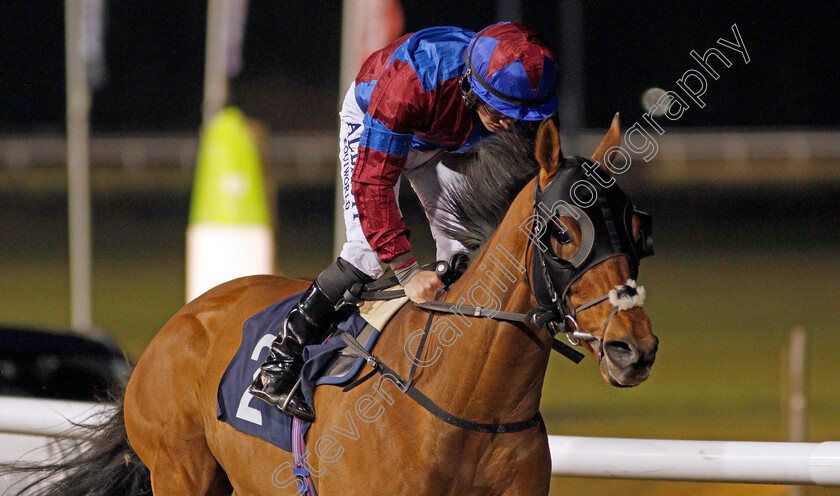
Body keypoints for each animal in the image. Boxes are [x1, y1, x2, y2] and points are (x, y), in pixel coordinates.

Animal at [8, 117, 664, 496]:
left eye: (638, 229)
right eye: (564, 233)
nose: (633, 348)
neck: (468, 405)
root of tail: (178, 322)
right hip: (180, 472)